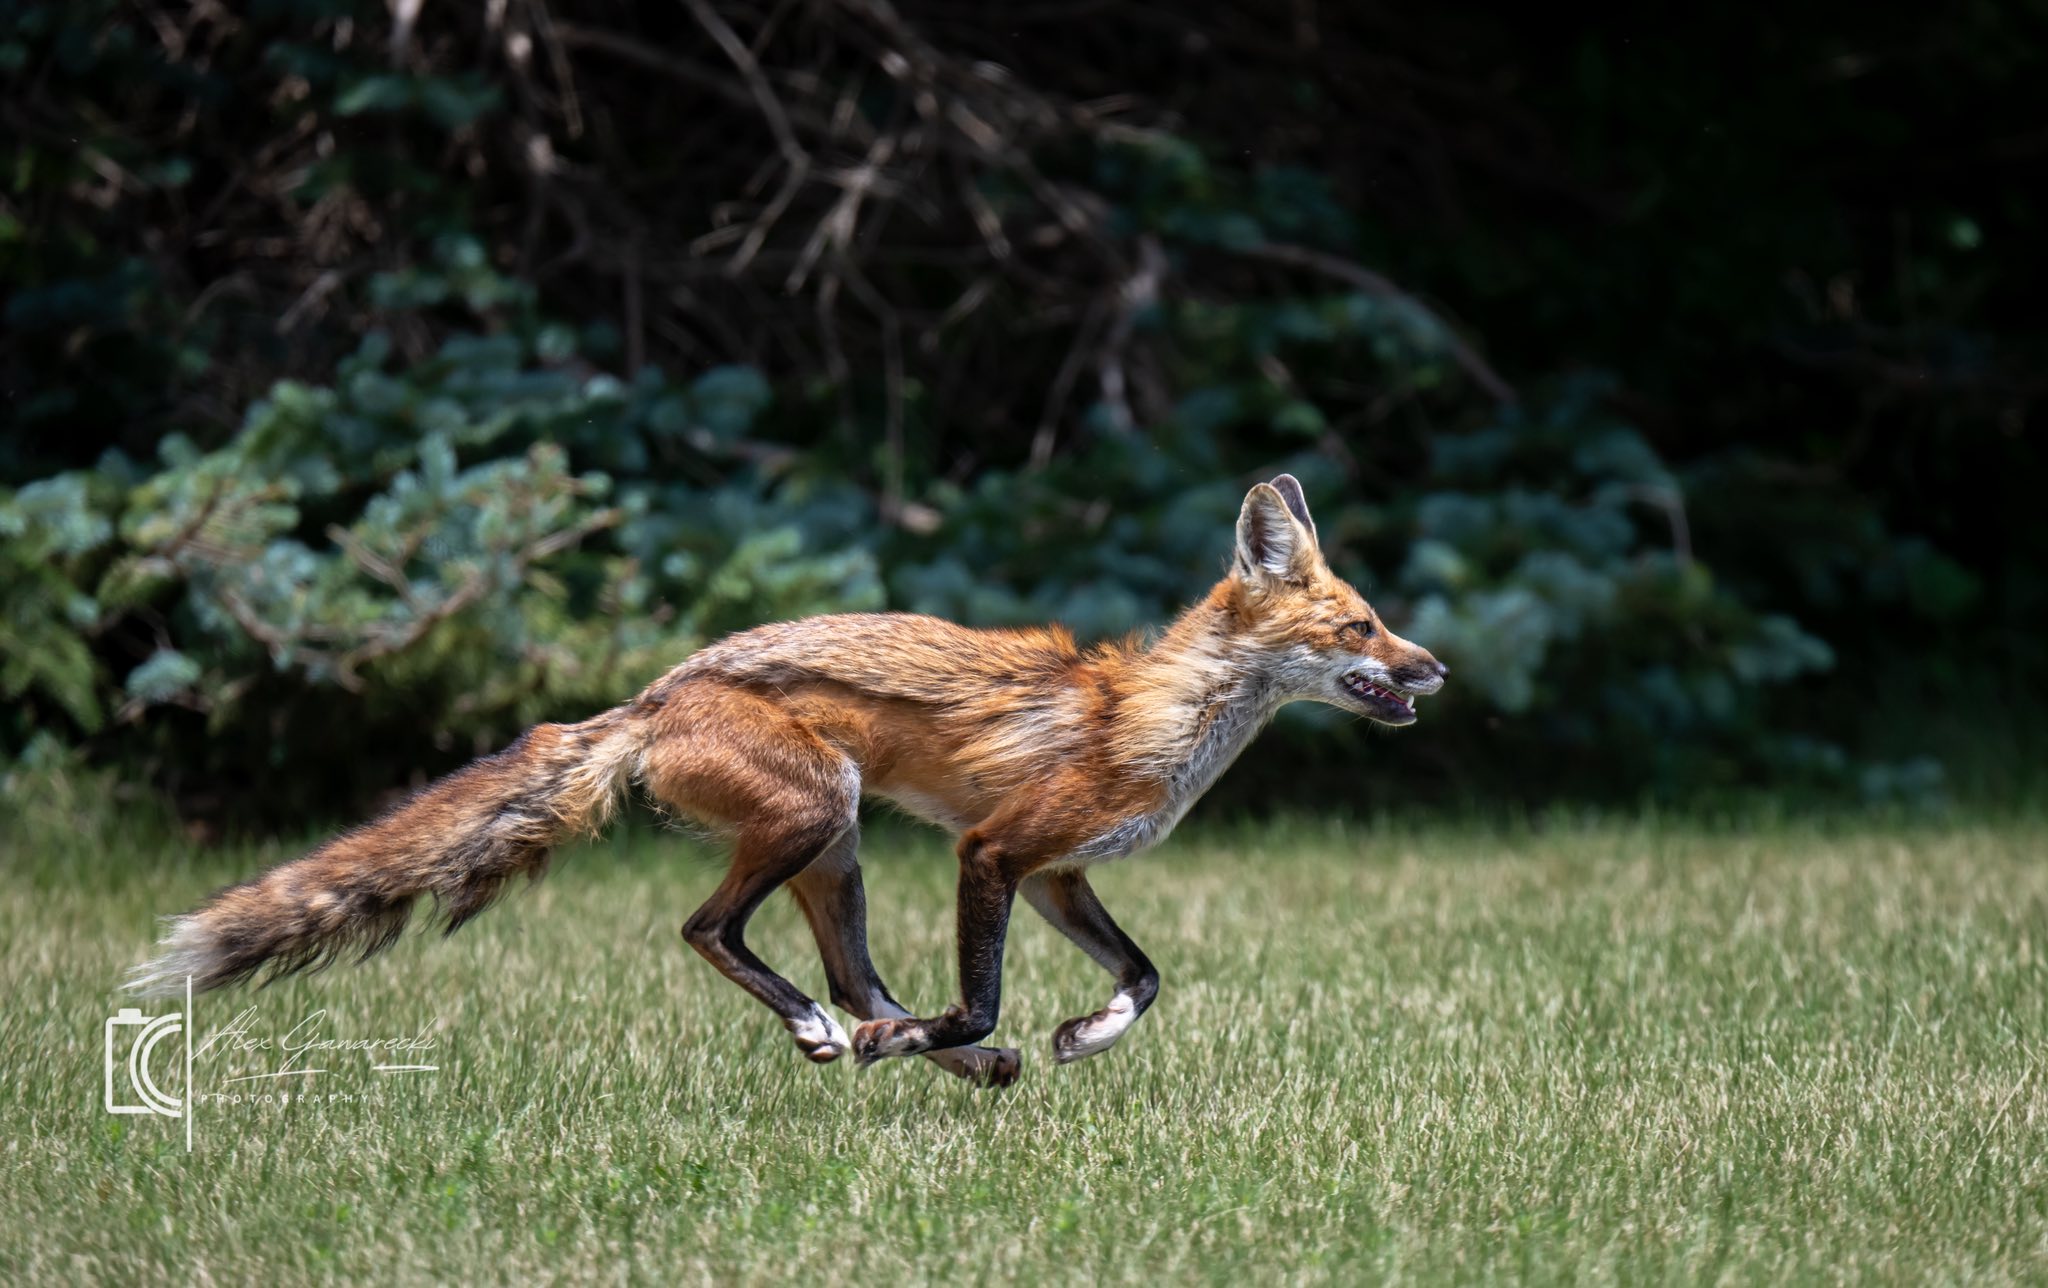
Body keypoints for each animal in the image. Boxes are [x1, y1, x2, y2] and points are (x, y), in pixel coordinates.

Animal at [129, 476, 1446, 1086]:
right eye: (1360, 626)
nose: (1433, 666)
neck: (1153, 718)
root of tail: (653, 695)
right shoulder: (995, 852)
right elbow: (981, 994)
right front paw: (974, 1033)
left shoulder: (1058, 873)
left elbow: (1144, 977)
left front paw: (1079, 1035)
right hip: (820, 809)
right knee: (712, 932)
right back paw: (845, 1034)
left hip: (839, 849)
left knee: (855, 974)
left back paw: (901, 1045)